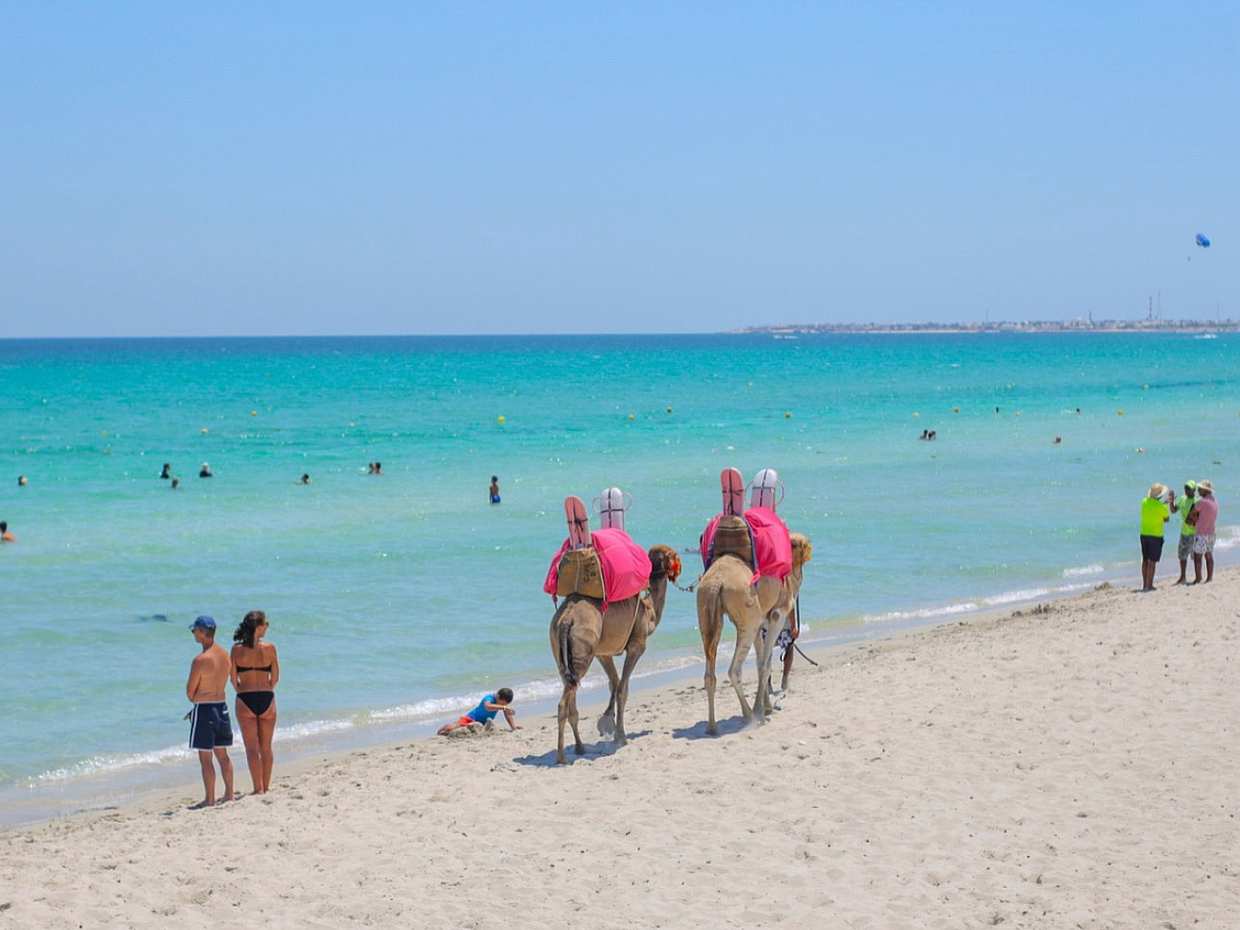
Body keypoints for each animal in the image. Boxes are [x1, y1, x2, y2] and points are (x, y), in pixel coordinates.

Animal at [549, 544, 679, 764]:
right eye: (675, 556)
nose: (680, 569)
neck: (649, 611)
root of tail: (567, 619)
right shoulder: (636, 646)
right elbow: (623, 689)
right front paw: (621, 737)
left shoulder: (603, 653)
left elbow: (615, 683)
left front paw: (607, 723)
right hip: (582, 651)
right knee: (563, 704)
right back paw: (561, 757)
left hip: (560, 652)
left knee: (570, 695)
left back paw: (580, 748)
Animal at [695, 533, 811, 734]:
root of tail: (717, 583)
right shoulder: (776, 616)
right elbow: (765, 665)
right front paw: (762, 710)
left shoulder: (760, 624)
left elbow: (760, 663)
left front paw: (767, 706)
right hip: (746, 615)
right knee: (734, 670)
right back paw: (750, 715)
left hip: (705, 610)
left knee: (710, 672)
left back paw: (712, 726)